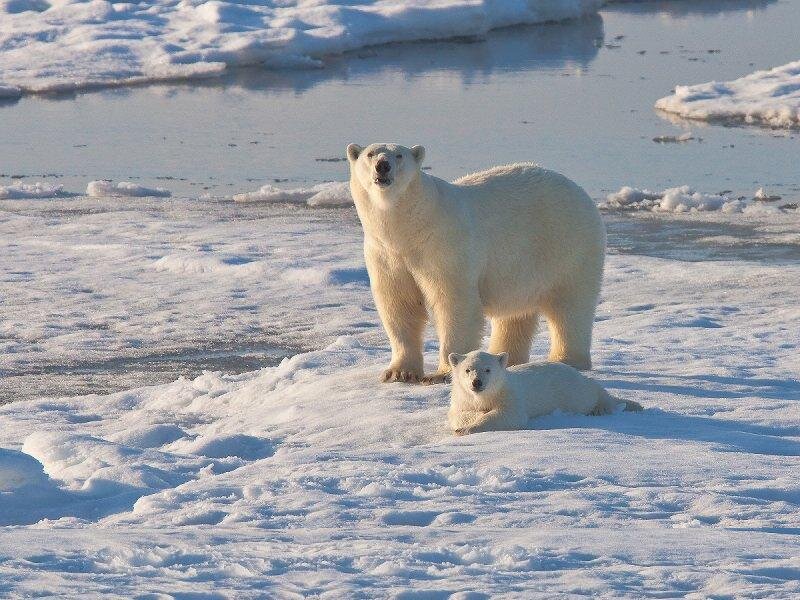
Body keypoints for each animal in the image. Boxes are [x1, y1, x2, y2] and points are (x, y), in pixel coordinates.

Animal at [346, 142, 606, 384]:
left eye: (399, 155)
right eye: (370, 154)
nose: (383, 165)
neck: (410, 227)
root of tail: (580, 191)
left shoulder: (444, 245)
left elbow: (454, 301)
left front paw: (443, 373)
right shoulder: (386, 253)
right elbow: (399, 303)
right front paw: (399, 372)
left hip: (568, 246)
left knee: (570, 305)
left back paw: (565, 359)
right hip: (522, 267)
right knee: (515, 313)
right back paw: (504, 357)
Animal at [448, 350, 643, 435]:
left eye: (487, 369)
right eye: (467, 370)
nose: (477, 382)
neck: (484, 396)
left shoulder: (510, 395)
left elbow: (509, 415)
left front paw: (468, 428)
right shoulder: (462, 399)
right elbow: (457, 414)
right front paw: (469, 419)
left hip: (571, 391)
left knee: (592, 393)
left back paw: (602, 407)